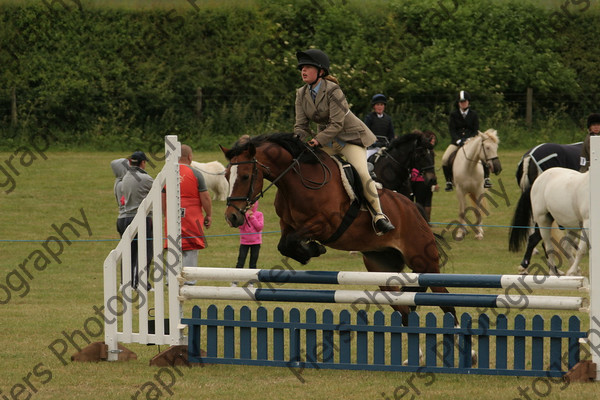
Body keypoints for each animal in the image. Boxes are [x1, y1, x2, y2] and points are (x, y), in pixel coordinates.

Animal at [223, 132, 458, 324]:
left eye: (245, 176)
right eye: (226, 176)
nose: (232, 217)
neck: (296, 181)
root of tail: (414, 210)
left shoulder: (326, 224)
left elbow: (293, 241)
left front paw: (312, 249)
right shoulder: (287, 225)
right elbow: (285, 244)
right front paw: (309, 251)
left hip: (424, 262)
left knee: (447, 303)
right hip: (381, 267)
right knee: (404, 310)